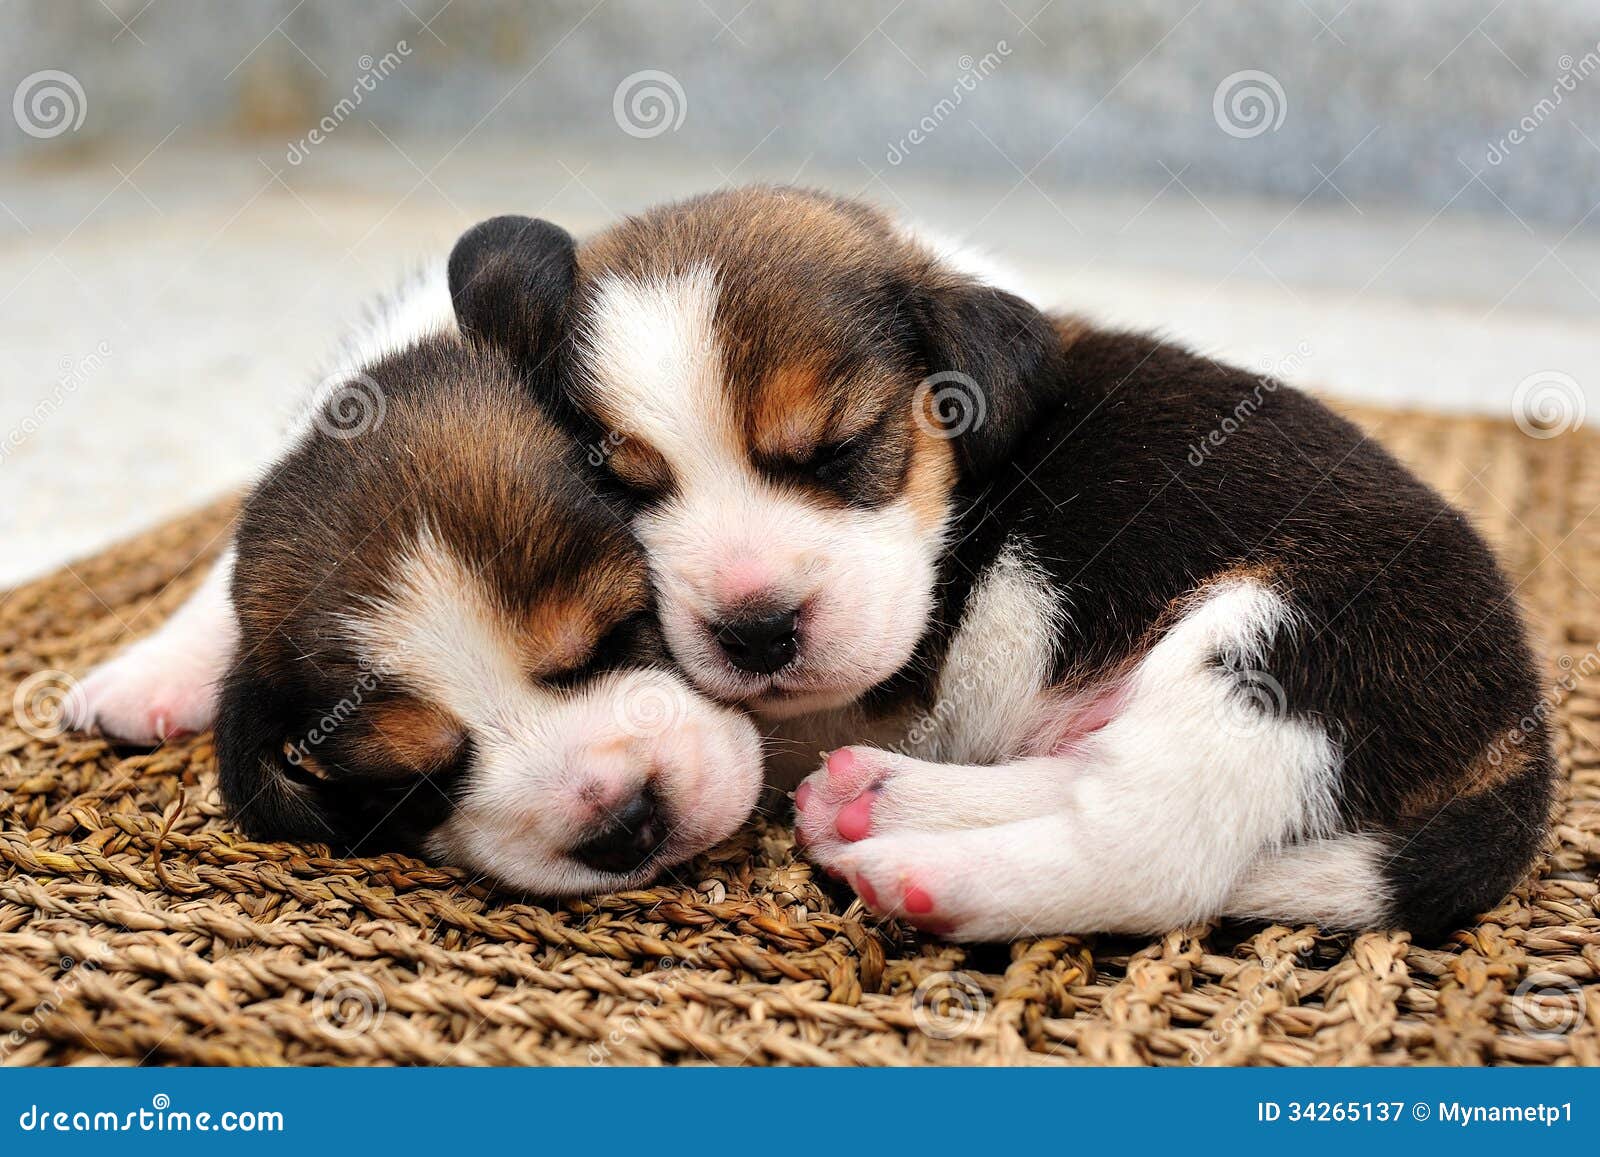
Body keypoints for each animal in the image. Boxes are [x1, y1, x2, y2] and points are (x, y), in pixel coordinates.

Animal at [473, 188, 1548, 940]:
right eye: (624, 486)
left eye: (840, 449)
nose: (756, 630)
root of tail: (1522, 728)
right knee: (1090, 776)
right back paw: (882, 801)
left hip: (1274, 648)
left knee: (1149, 844)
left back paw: (935, 873)